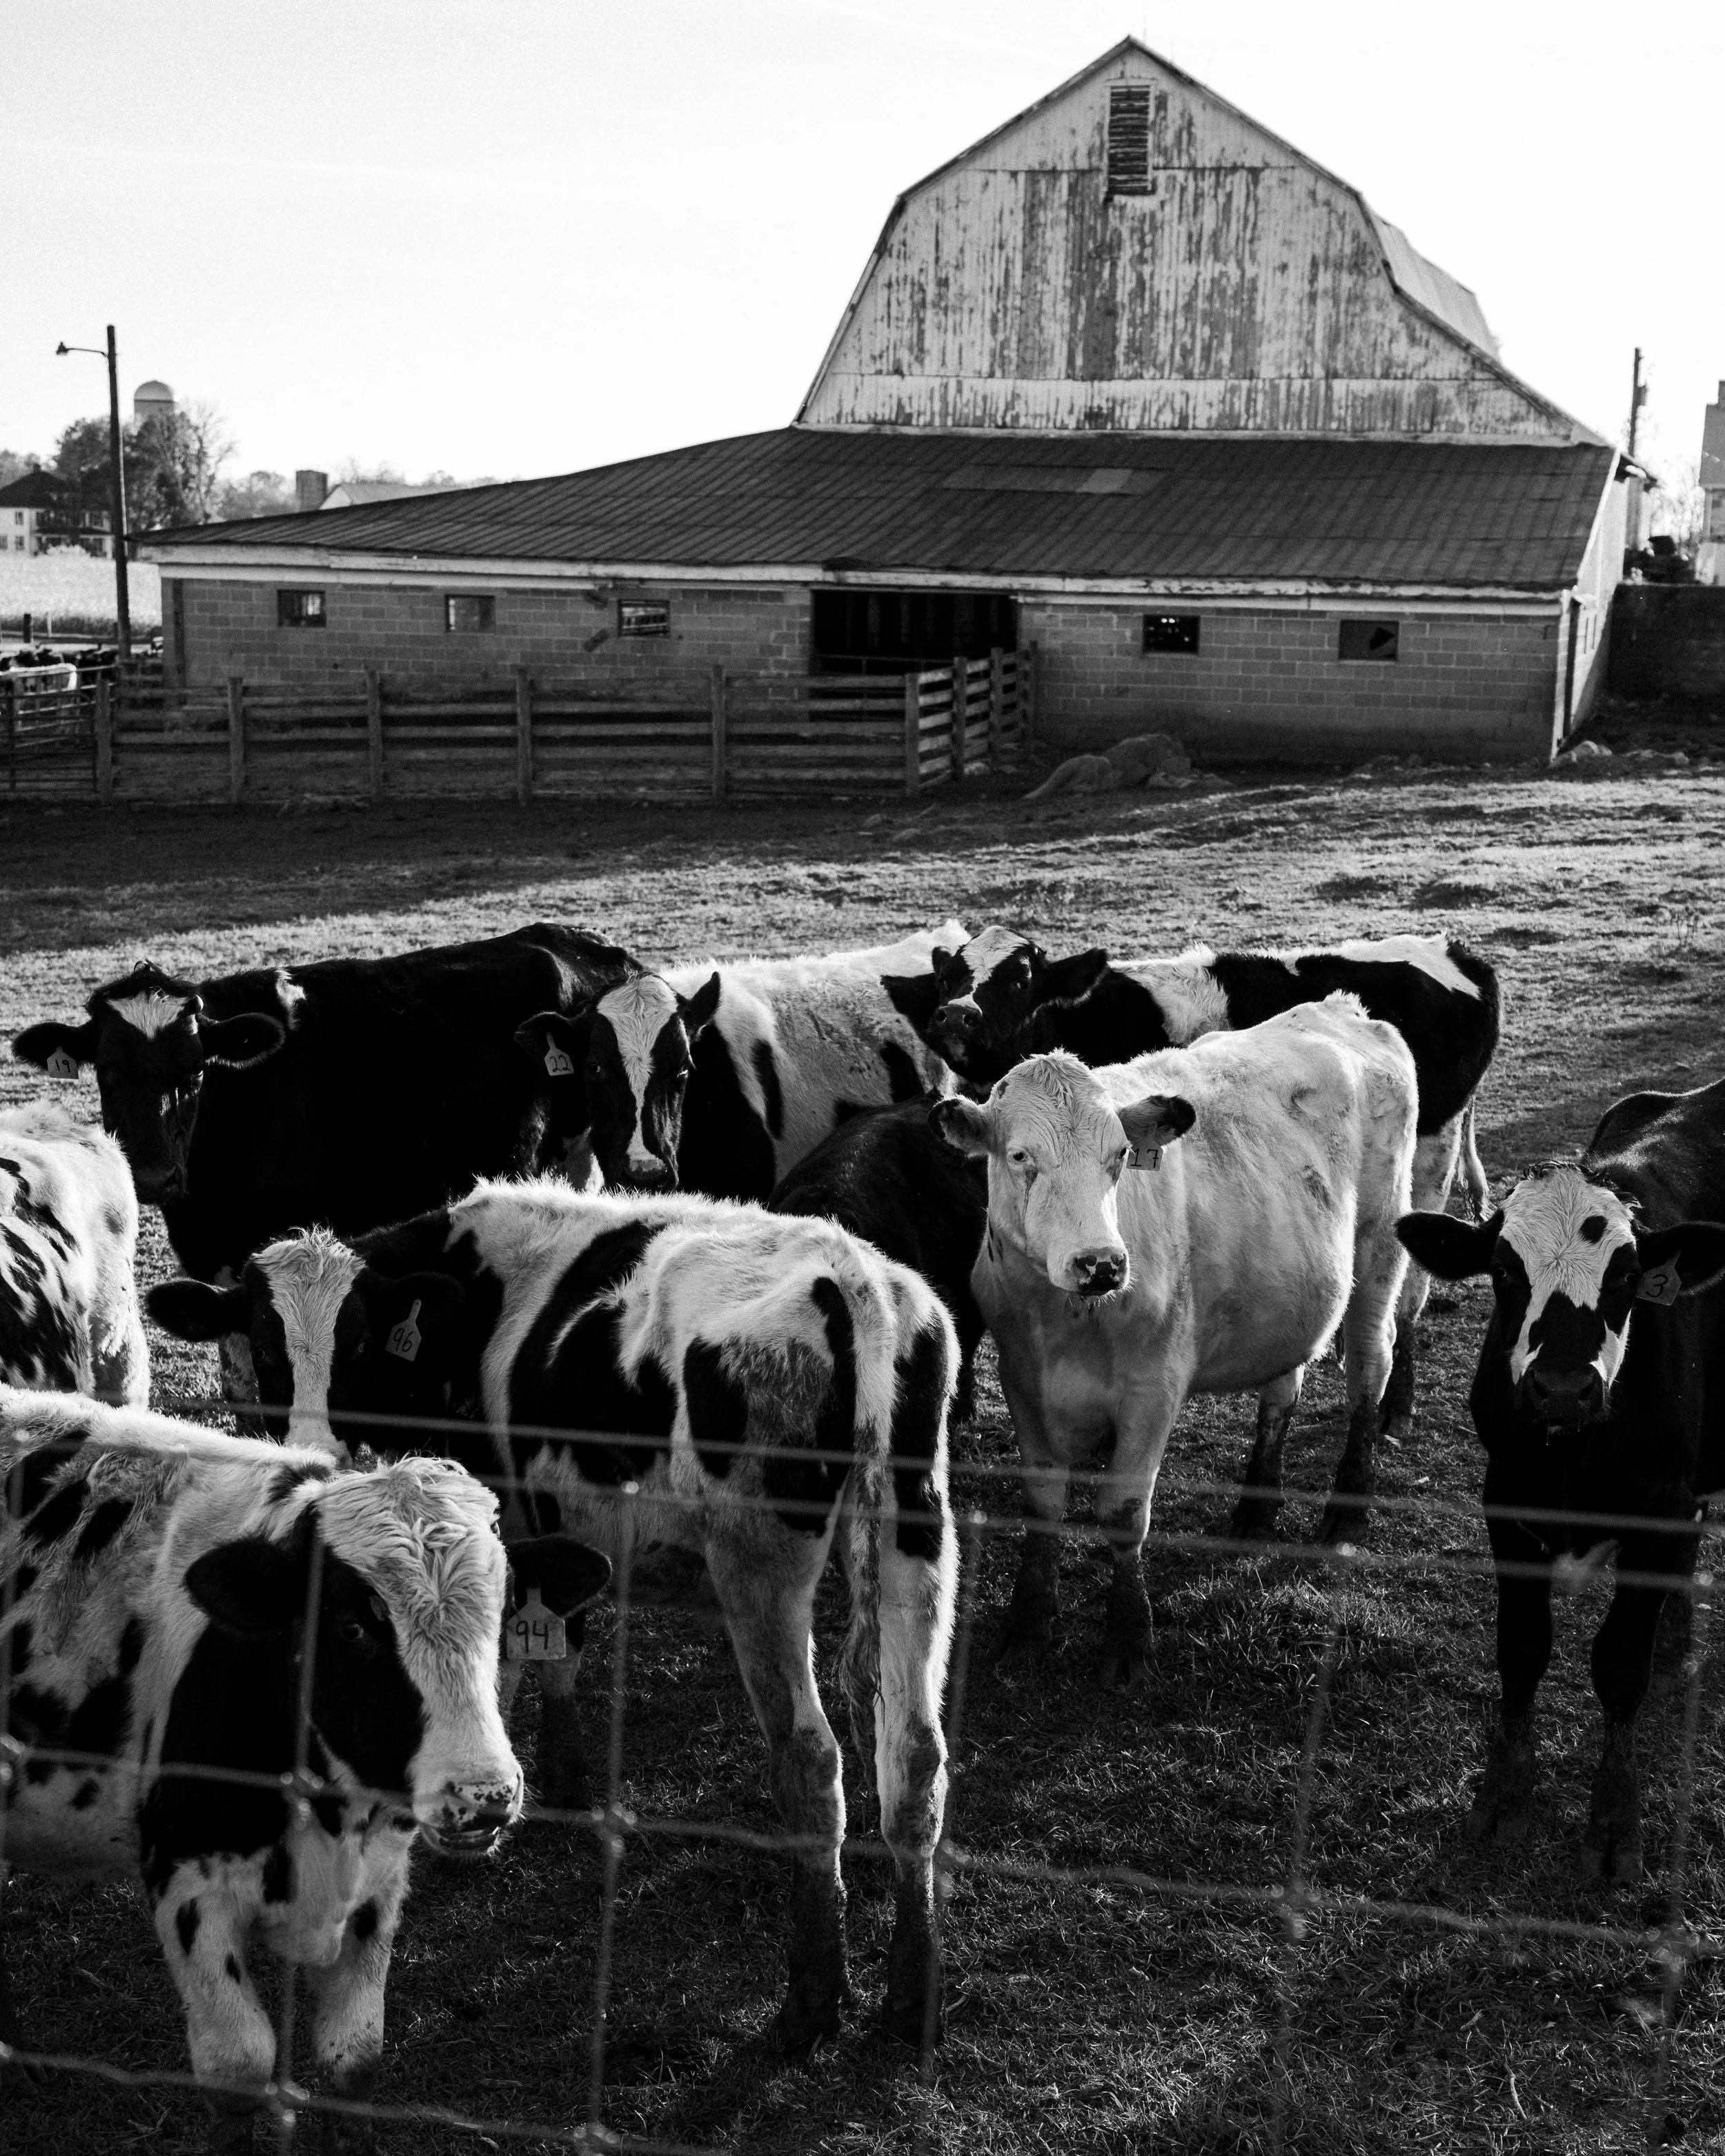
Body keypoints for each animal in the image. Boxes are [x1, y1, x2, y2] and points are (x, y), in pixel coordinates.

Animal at [0, 1384, 608, 2149]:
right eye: (351, 1627)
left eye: (503, 1619)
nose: (484, 1793)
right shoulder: (186, 1878)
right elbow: (238, 2066)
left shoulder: (379, 1881)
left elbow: (355, 2057)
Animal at [145, 1180, 961, 2052]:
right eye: (263, 1347)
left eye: (360, 1343)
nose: (315, 1450)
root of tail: (853, 1279)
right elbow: (563, 1638)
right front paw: (559, 1778)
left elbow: (511, 1655)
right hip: (914, 1532)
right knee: (912, 1747)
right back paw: (910, 1985)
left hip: (758, 1560)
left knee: (810, 1762)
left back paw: (812, 1998)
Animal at [893, 925, 1499, 1499]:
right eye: (948, 977)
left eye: (1019, 978)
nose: (957, 1014)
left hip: (1426, 1166)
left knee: (1406, 1298)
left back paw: (1395, 1408)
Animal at [934, 996, 1417, 1684]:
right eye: (1021, 1156)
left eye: (1119, 1157)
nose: (1101, 1263)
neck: (1069, 1319)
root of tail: (1340, 1009)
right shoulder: (1022, 1382)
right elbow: (1043, 1503)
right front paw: (1027, 1626)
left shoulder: (1153, 1389)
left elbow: (1123, 1512)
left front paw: (1129, 1639)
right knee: (1283, 1388)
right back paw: (1254, 1509)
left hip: (1380, 1246)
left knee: (1370, 1367)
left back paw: (1348, 1508)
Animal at [1395, 1077, 1725, 1880]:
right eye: (1505, 1271)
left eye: (1629, 1276)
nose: (1563, 1388)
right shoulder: (1506, 1502)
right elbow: (1522, 1649)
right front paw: (1503, 1793)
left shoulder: (1660, 1506)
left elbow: (1619, 1663)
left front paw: (1613, 1817)